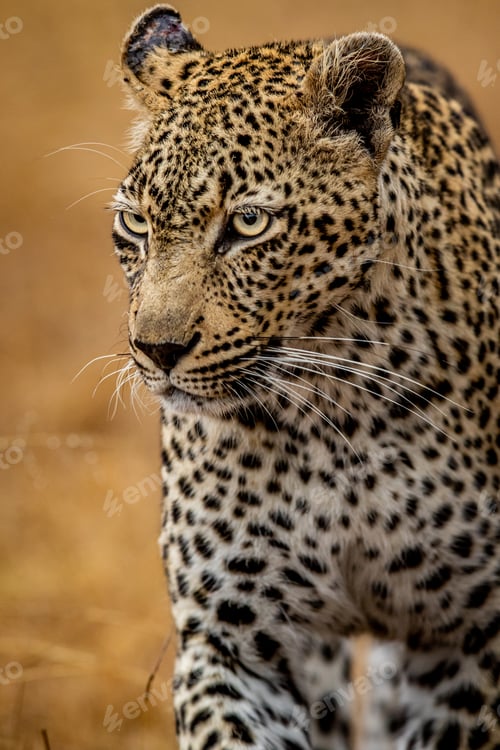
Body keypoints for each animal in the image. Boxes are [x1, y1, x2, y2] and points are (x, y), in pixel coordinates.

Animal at [110, 5, 500, 749]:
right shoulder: (234, 641)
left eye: (248, 224)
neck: (339, 405)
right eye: (135, 224)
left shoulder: (464, 641)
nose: (155, 350)